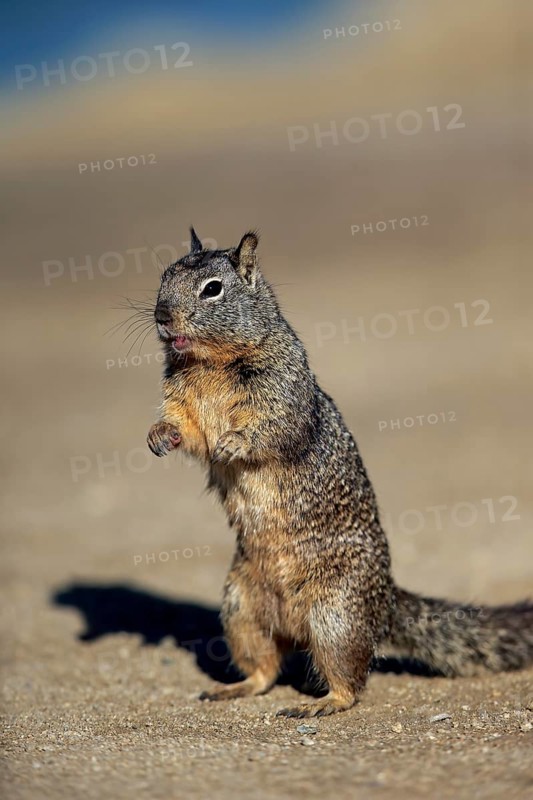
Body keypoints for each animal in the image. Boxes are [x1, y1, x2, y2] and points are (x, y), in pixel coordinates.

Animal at [146, 228, 533, 718]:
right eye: (164, 275)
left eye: (212, 289)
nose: (162, 316)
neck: (207, 363)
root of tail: (385, 599)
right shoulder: (182, 400)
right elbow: (187, 431)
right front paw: (158, 436)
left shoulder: (282, 392)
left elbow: (272, 428)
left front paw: (233, 443)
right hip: (241, 609)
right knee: (265, 669)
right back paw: (236, 687)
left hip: (336, 614)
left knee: (349, 678)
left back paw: (322, 703)